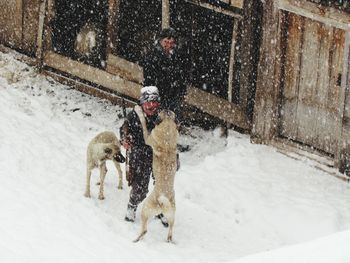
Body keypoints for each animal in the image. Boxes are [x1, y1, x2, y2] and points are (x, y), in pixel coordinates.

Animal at [133, 110, 179, 243]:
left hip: (145, 208)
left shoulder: (148, 137)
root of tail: (162, 203)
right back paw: (169, 239)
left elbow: (143, 123)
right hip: (172, 216)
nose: (162, 109)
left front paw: (139, 111)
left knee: (144, 229)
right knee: (170, 230)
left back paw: (136, 240)